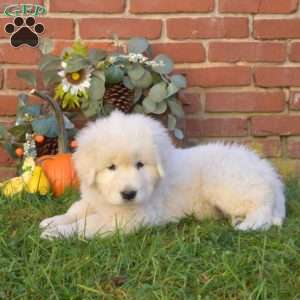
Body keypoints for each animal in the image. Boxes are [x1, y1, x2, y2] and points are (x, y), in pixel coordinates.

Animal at [40, 110, 286, 239]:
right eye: (111, 167)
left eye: (140, 164)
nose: (129, 194)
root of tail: (267, 170)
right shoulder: (95, 200)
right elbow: (76, 209)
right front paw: (53, 221)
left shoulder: (130, 219)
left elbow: (88, 223)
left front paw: (58, 232)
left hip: (228, 183)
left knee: (262, 209)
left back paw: (249, 225)